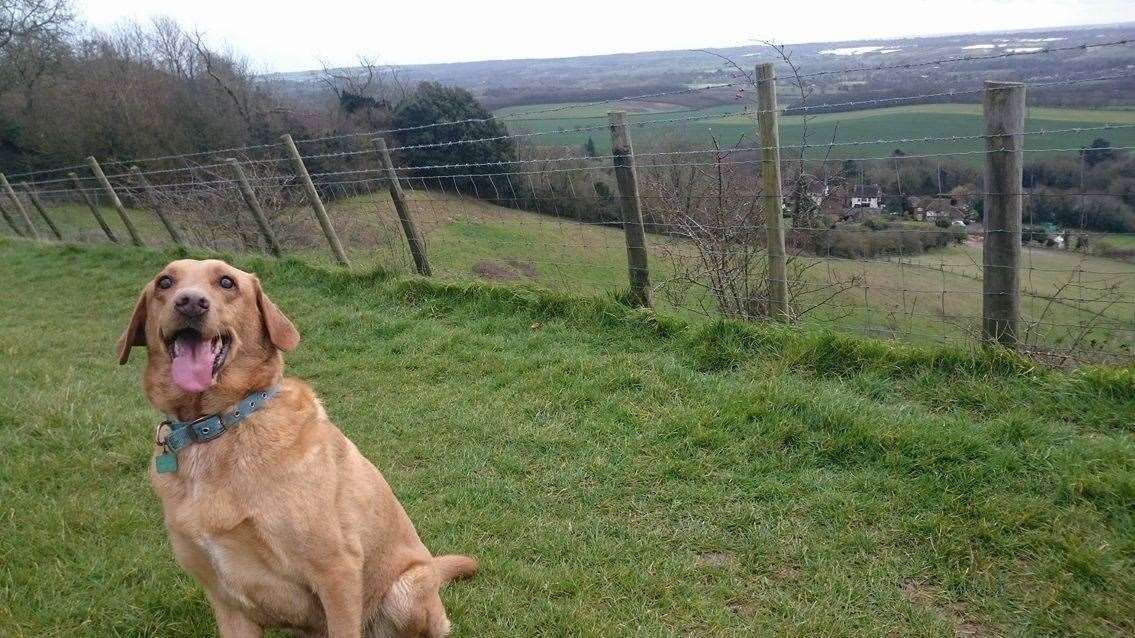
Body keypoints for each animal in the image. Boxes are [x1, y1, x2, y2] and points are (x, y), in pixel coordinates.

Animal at [118, 256, 478, 631]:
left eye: (227, 282)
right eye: (165, 282)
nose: (190, 302)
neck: (215, 427)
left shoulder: (337, 570)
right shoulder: (226, 600)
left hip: (404, 591)